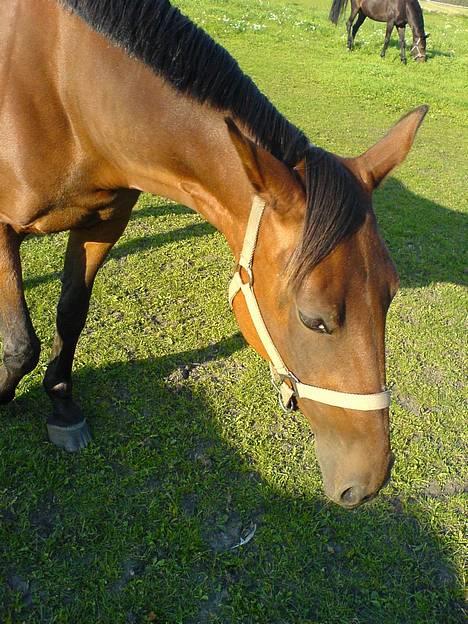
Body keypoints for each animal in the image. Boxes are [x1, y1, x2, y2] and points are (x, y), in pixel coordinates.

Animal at [0, 0, 428, 508]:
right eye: (315, 320)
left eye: (390, 296)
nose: (369, 480)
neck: (68, 90)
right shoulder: (2, 228)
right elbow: (22, 342)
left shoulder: (104, 223)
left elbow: (70, 316)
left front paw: (62, 403)